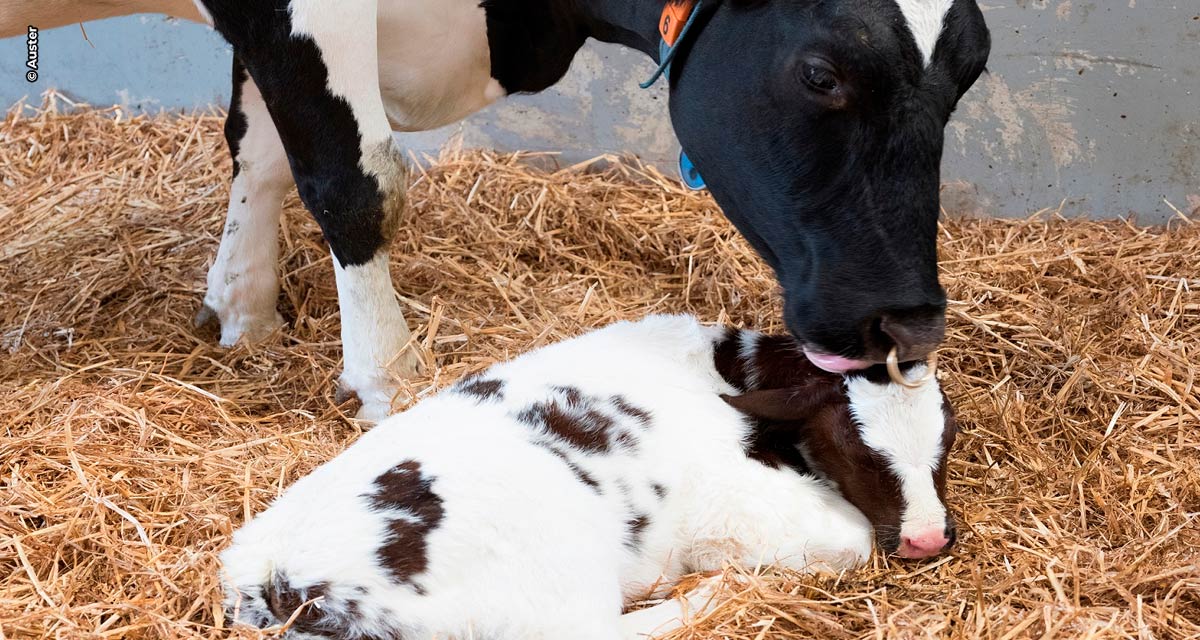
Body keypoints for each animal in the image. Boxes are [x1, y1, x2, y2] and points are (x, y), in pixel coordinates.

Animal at [2, 0, 993, 417]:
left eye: (974, 69)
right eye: (823, 74)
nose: (911, 327)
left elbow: (263, 149)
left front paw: (244, 316)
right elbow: (355, 179)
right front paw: (389, 380)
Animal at [223, 314, 955, 638]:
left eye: (947, 441)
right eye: (858, 452)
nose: (927, 538)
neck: (723, 371)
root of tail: (279, 577)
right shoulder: (744, 501)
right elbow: (851, 540)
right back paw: (707, 592)